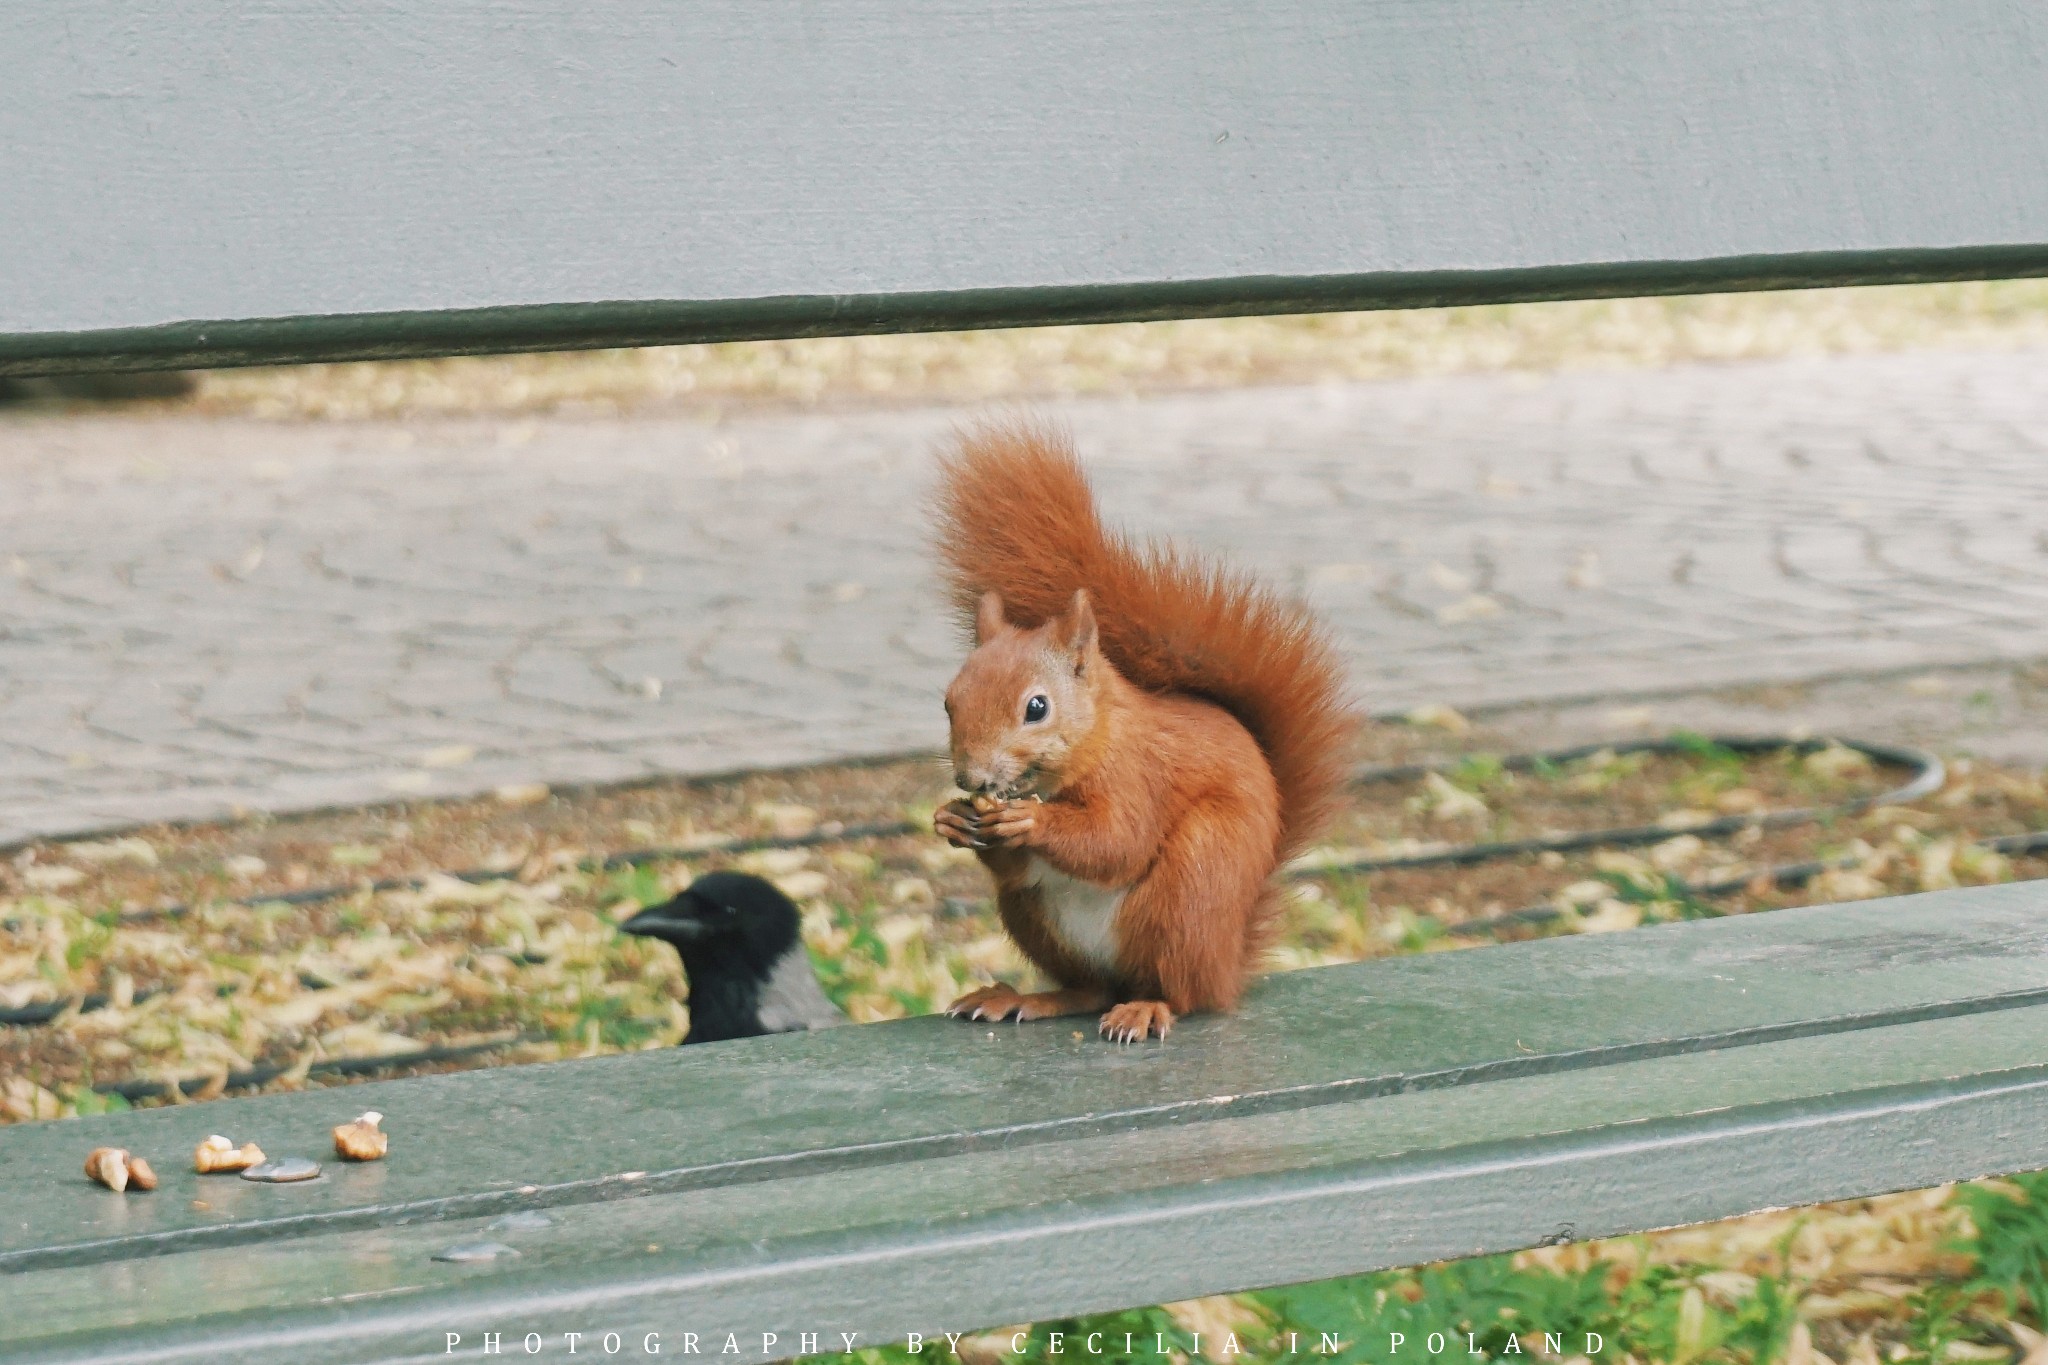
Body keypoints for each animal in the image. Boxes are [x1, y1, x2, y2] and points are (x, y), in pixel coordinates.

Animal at [933, 421, 1351, 1039]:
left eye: (1037, 707)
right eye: (949, 702)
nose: (972, 778)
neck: (1097, 737)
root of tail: (1229, 963)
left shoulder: (1139, 775)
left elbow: (1117, 841)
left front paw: (1031, 821)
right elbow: (1018, 862)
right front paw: (952, 820)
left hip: (1192, 888)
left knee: (1182, 992)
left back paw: (1147, 1007)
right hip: (1034, 917)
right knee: (1090, 987)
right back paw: (1026, 998)